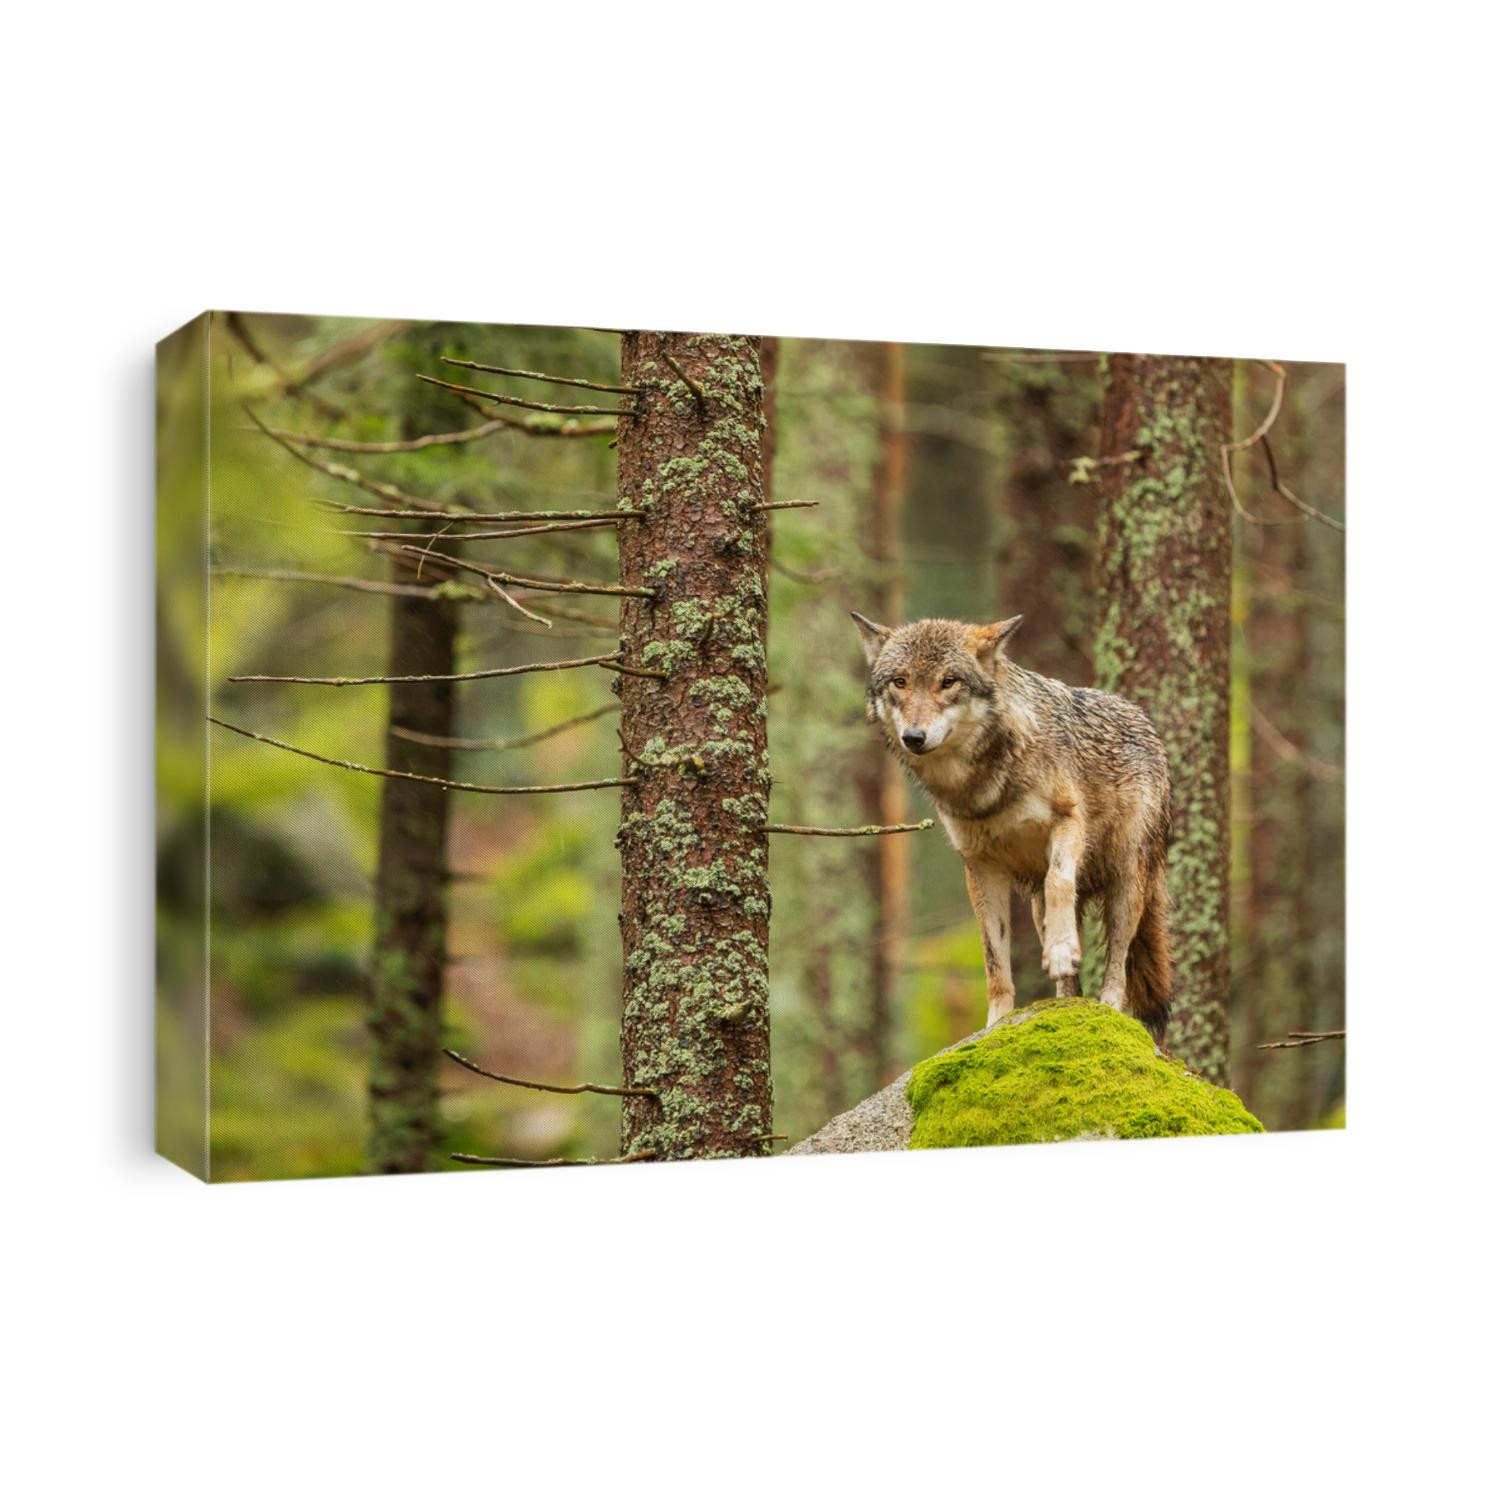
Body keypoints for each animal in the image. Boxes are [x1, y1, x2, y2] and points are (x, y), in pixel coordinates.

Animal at [852, 612, 1173, 1042]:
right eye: (900, 681)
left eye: (948, 681)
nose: (914, 737)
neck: (984, 786)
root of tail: (1143, 720)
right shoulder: (980, 866)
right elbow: (994, 958)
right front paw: (997, 1023)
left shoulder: (1069, 823)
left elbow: (1059, 882)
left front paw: (1061, 950)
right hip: (1037, 906)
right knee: (1070, 979)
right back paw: (1063, 1005)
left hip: (1126, 883)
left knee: (1118, 962)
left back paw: (1107, 1008)